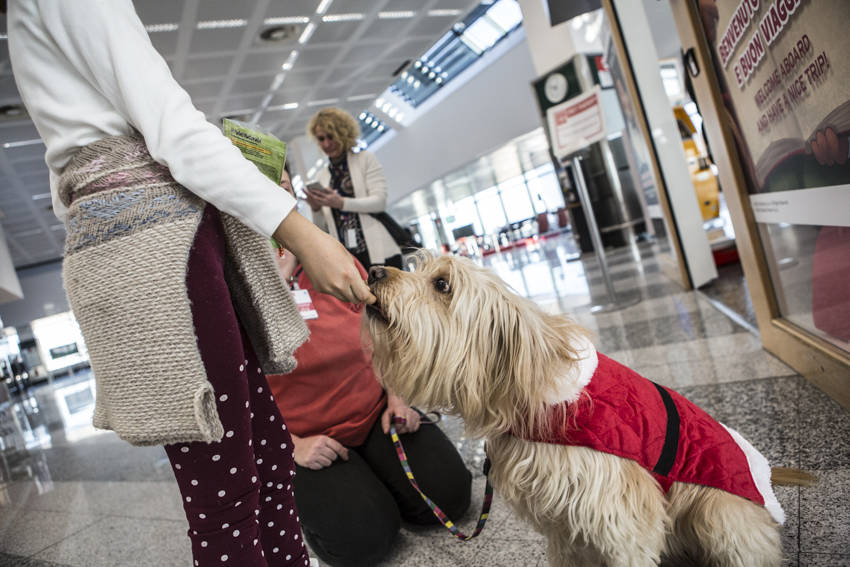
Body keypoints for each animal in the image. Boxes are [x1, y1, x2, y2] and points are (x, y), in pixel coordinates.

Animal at [360, 255, 808, 564]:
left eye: (442, 284)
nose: (372, 271)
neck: (524, 389)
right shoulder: (564, 526)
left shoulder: (621, 519)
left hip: (719, 513)